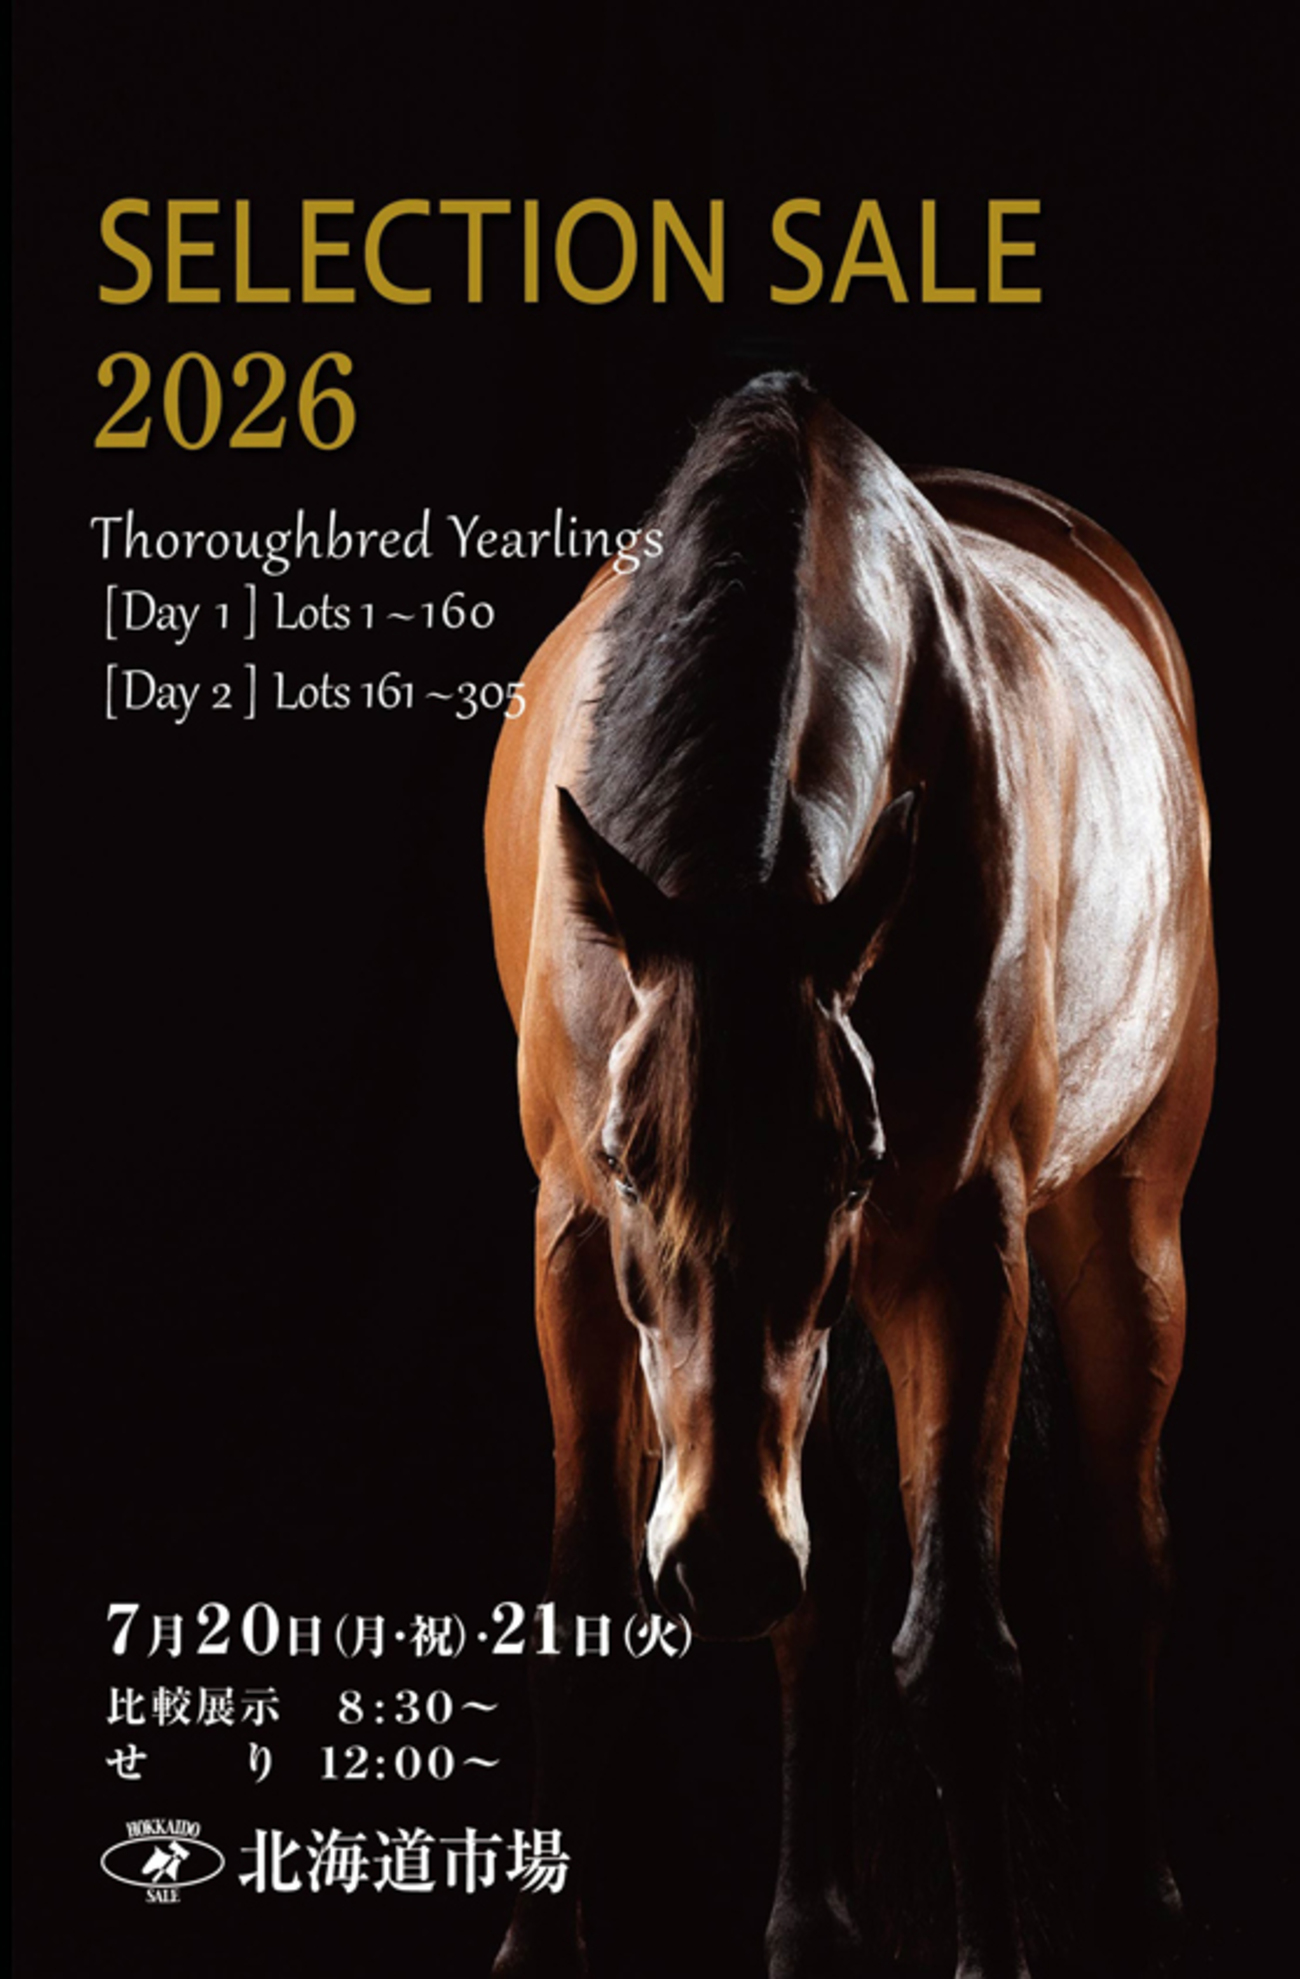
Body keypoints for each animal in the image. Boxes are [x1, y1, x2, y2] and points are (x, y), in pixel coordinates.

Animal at [483, 373, 1215, 1979]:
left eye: (855, 1158)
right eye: (627, 1154)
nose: (720, 1562)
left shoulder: (956, 1247)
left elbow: (957, 1656)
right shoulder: (570, 1250)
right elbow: (590, 1619)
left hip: (1123, 1227)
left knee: (1123, 1550)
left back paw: (1140, 1897)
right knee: (816, 1594)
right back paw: (809, 1919)